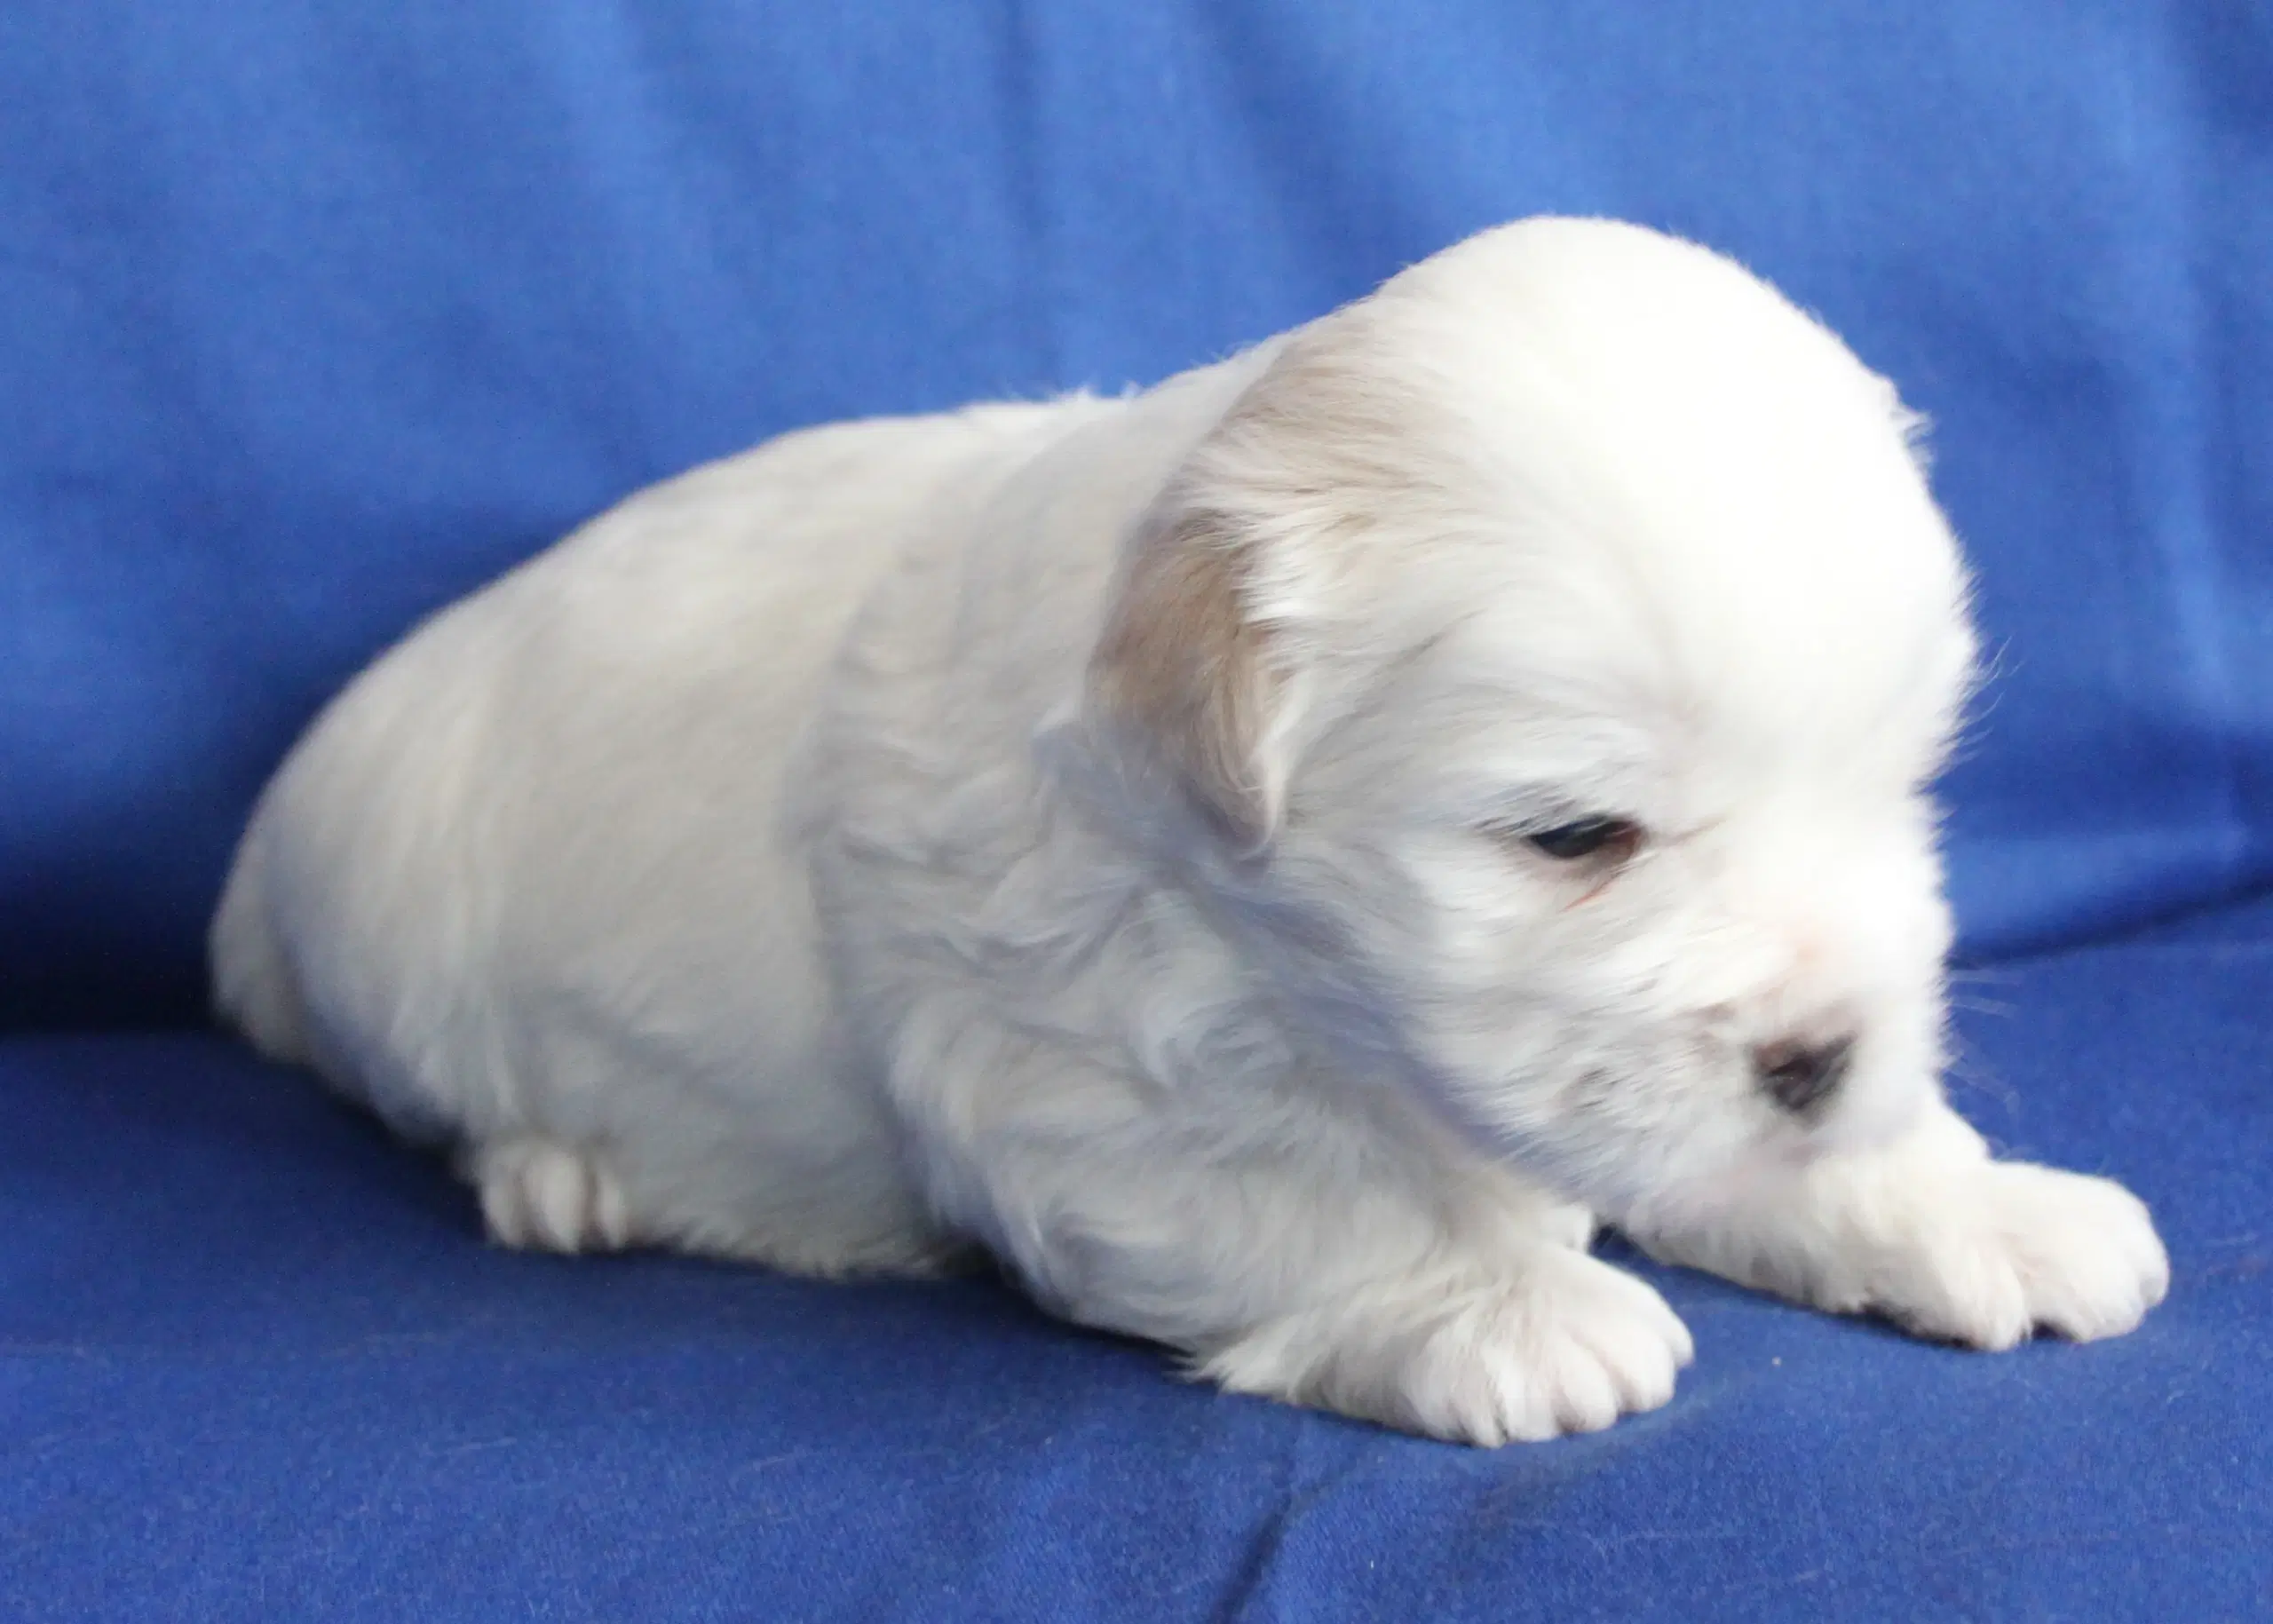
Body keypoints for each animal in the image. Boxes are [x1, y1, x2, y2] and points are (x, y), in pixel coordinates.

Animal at [213, 218, 2164, 1446]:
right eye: (1575, 835)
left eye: (1897, 787)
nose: (1823, 1054)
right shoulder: (1071, 1069)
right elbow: (1304, 1205)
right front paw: (1505, 1308)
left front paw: (1971, 1198)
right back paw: (565, 1173)